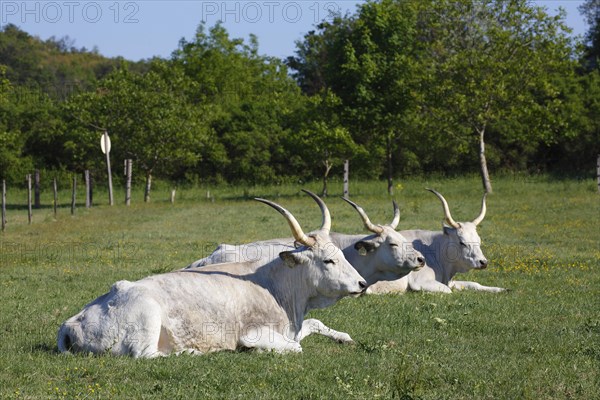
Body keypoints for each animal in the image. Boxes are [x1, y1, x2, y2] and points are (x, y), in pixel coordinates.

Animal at [57, 198, 366, 358]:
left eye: (340, 254)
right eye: (328, 260)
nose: (362, 284)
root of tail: (72, 321)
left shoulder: (295, 324)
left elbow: (315, 324)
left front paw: (345, 338)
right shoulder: (254, 333)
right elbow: (296, 347)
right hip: (147, 316)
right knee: (146, 354)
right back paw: (191, 352)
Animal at [366, 189, 506, 296]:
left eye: (479, 240)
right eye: (462, 242)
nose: (483, 262)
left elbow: (475, 284)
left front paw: (501, 289)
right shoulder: (421, 281)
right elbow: (448, 290)